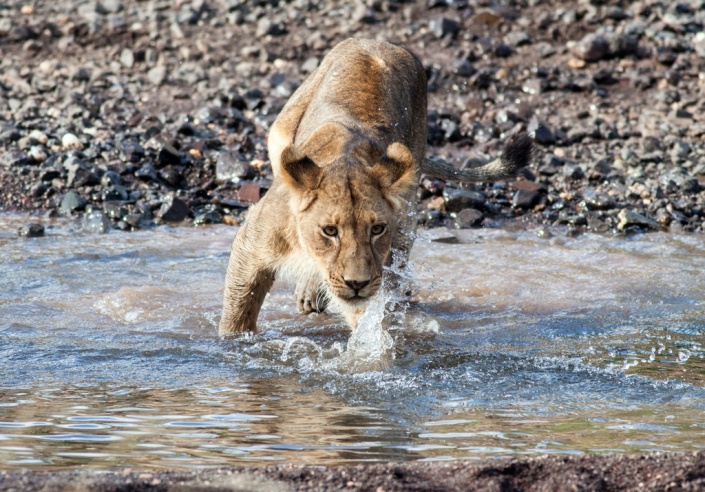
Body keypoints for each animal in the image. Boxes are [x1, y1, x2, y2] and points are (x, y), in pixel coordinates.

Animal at [218, 38, 532, 335]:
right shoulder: (252, 246)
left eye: (377, 229)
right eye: (329, 231)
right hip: (281, 136)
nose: (357, 283)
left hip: (408, 203)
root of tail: (381, 42)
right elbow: (239, 310)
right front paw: (232, 342)